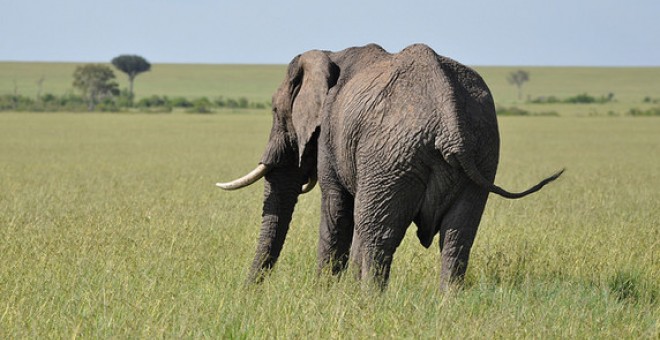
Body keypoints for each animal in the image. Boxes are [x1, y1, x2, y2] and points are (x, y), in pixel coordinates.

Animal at [218, 43, 564, 290]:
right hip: (480, 151)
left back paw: (368, 301)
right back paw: (446, 301)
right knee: (458, 234)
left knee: (377, 231)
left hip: (391, 156)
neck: (330, 54)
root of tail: (448, 112)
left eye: (276, 112)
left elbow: (336, 206)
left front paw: (322, 293)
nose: (247, 291)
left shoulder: (331, 131)